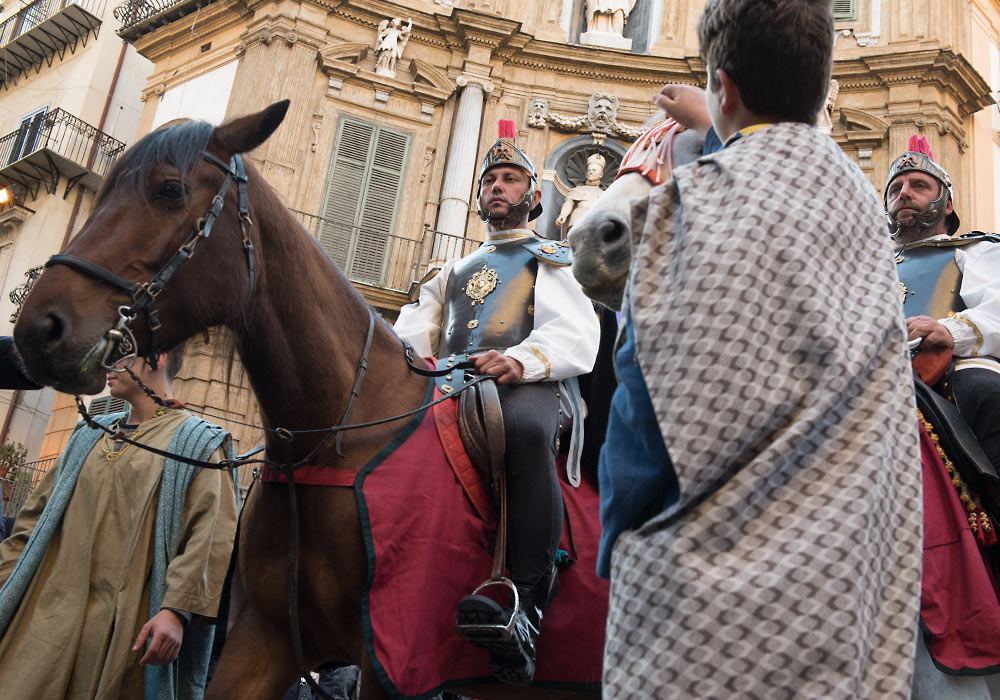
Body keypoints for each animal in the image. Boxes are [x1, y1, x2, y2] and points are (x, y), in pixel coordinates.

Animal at [11, 104, 596, 700]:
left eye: (169, 190)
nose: (40, 330)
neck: (337, 437)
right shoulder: (260, 641)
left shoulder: (393, 659)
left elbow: (575, 329)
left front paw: (504, 364)